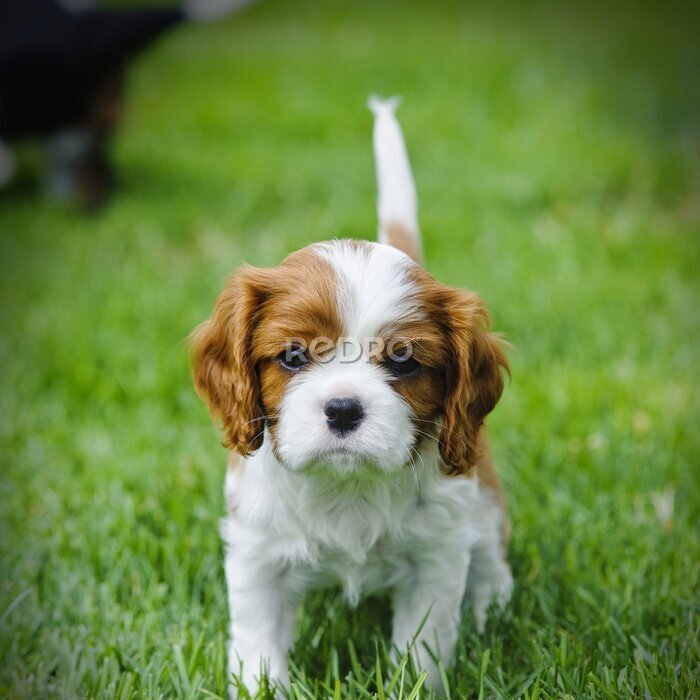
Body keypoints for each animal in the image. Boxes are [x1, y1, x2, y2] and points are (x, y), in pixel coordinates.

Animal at [191, 97, 516, 696]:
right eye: (294, 356)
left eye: (403, 360)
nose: (343, 409)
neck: (347, 488)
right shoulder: (258, 560)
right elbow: (258, 649)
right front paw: (262, 685)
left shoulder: (434, 558)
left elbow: (423, 650)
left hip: (476, 488)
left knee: (487, 545)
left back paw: (493, 602)